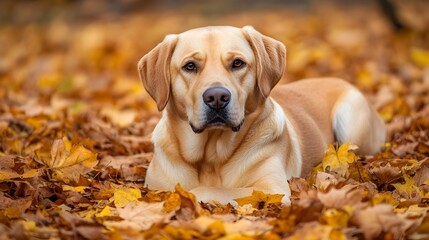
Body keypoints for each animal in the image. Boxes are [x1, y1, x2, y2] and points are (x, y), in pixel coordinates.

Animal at [137, 26, 384, 204]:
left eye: (237, 63)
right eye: (190, 66)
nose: (217, 97)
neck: (210, 158)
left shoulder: (272, 188)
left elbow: (207, 190)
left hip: (351, 121)